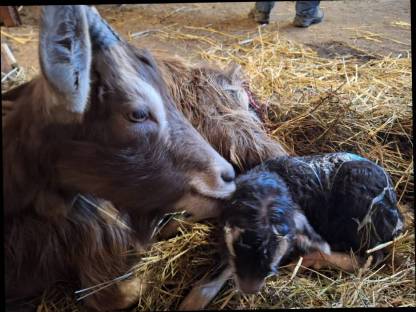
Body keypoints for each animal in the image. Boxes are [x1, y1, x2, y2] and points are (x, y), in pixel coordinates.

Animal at [180, 152, 404, 310]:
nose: (250, 288)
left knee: (371, 258)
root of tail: (397, 213)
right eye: (237, 240)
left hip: (361, 219)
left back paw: (308, 260)